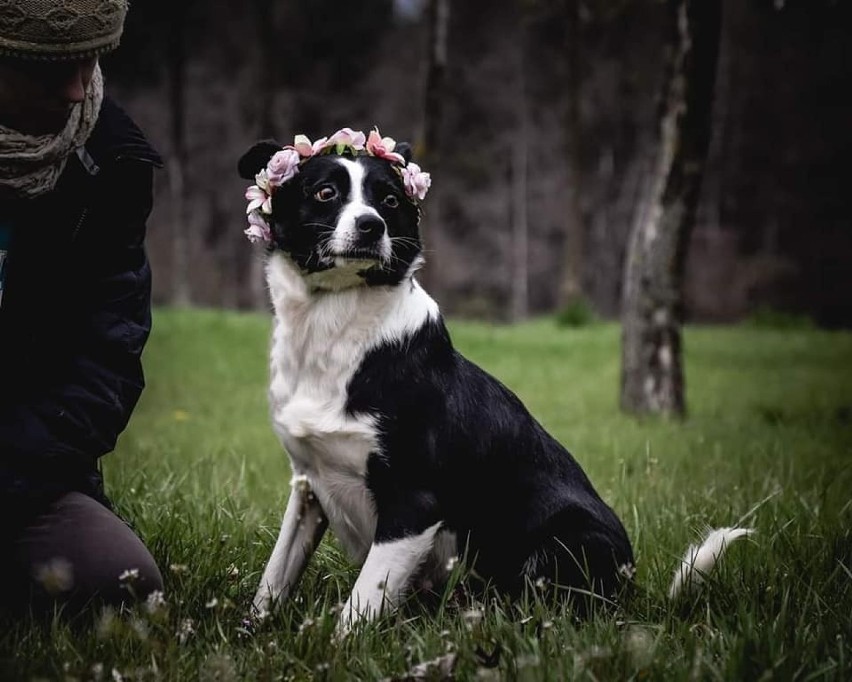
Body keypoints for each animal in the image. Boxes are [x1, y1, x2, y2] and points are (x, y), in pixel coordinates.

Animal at [236, 130, 636, 628]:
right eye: (325, 192)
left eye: (389, 200)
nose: (371, 226)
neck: (335, 327)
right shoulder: (308, 486)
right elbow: (274, 577)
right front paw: (253, 630)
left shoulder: (413, 503)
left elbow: (360, 605)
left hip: (570, 538)